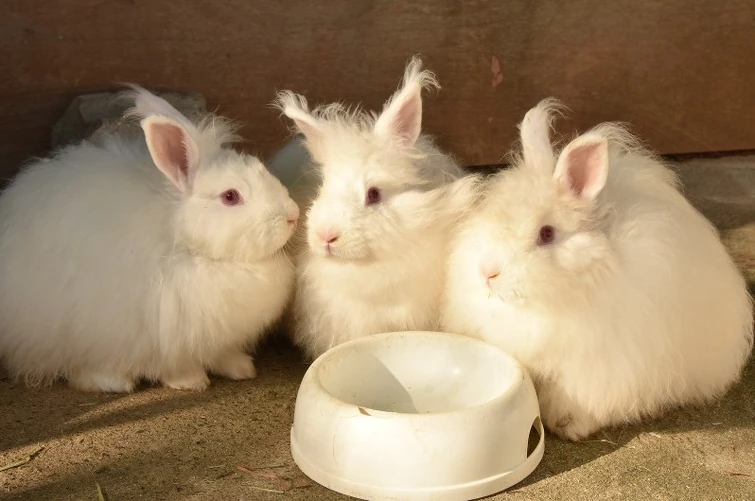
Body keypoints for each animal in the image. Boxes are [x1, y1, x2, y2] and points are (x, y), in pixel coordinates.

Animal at [0, 85, 300, 393]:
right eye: (230, 196)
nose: (293, 215)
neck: (187, 244)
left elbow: (223, 355)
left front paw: (241, 369)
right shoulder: (163, 336)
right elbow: (173, 366)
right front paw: (191, 382)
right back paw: (115, 382)